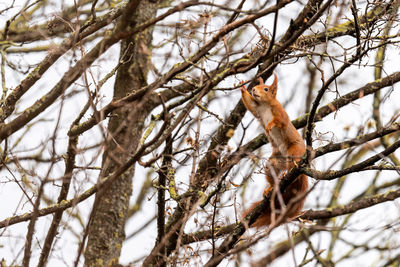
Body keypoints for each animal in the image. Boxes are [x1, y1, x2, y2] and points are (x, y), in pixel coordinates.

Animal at [239, 75, 308, 228]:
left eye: (266, 89)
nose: (253, 89)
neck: (265, 105)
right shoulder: (257, 109)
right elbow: (250, 105)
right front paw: (243, 88)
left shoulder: (280, 112)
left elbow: (279, 121)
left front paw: (270, 125)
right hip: (274, 161)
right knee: (273, 171)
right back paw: (270, 188)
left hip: (294, 152)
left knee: (293, 167)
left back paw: (288, 173)